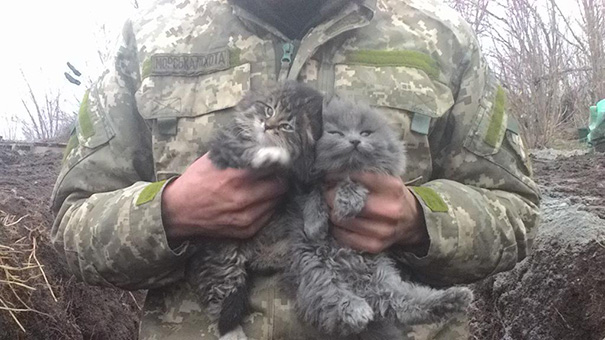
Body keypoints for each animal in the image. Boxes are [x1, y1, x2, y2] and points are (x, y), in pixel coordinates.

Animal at [185, 80, 324, 338]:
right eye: (268, 110)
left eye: (286, 126)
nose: (266, 125)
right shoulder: (226, 146)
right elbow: (248, 151)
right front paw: (270, 154)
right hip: (223, 249)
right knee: (222, 290)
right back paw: (231, 331)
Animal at [286, 97, 472, 338]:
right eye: (336, 133)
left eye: (366, 133)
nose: (355, 141)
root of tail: (361, 285)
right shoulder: (303, 187)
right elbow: (313, 196)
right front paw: (315, 225)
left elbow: (353, 182)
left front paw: (348, 201)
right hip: (318, 273)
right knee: (333, 299)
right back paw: (356, 310)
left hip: (383, 279)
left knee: (405, 302)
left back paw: (453, 299)